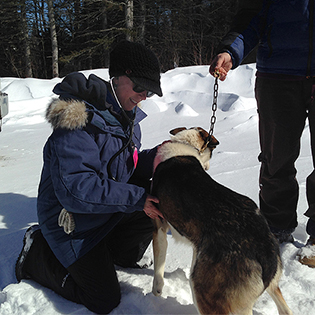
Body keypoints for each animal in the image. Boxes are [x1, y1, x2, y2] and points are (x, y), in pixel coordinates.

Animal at [151, 127, 294, 315]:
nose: (209, 167)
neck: (184, 145)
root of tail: (263, 249)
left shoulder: (159, 225)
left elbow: (159, 265)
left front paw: (156, 291)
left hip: (204, 293)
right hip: (272, 286)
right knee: (285, 308)